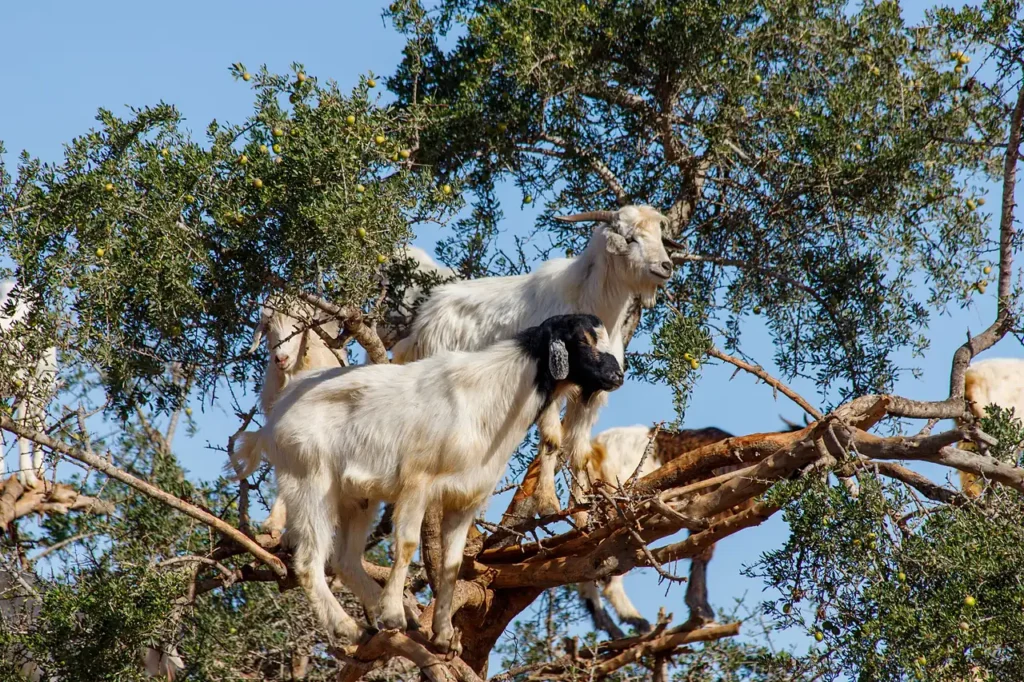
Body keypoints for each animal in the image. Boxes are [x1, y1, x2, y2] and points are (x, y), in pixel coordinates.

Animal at [0, 279, 58, 488]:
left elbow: (23, 432)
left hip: (43, 382)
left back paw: (39, 470)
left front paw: (28, 477)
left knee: (39, 423)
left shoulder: (25, 385)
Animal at [392, 206, 680, 516]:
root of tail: (422, 323)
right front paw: (548, 503)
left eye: (659, 235)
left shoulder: (592, 392)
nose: (665, 266)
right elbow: (552, 440)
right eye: (631, 238)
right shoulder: (549, 386)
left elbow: (580, 452)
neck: (589, 300)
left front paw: (581, 512)